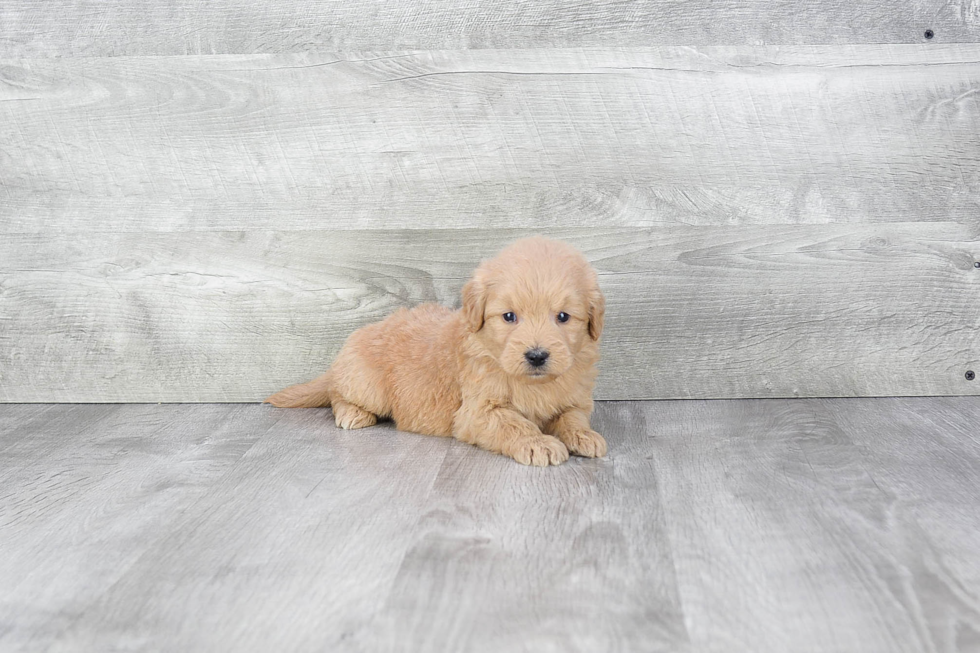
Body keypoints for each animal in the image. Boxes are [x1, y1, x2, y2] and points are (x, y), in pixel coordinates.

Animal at [266, 237, 604, 466]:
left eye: (563, 317)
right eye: (509, 316)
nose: (536, 356)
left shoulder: (573, 399)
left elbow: (572, 418)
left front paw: (583, 436)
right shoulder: (476, 412)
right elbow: (515, 423)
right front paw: (538, 443)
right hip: (367, 385)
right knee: (337, 393)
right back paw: (353, 413)